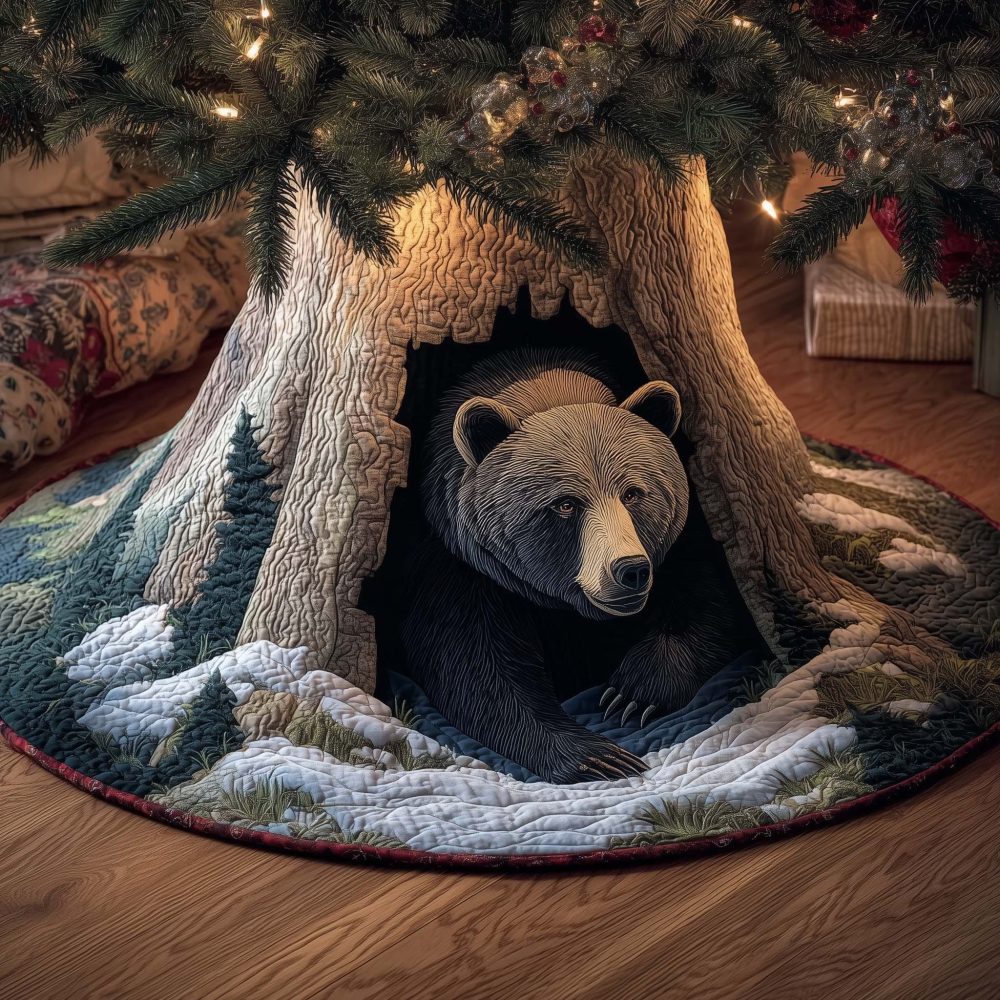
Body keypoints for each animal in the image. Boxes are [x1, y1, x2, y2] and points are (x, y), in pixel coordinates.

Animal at [398, 347, 756, 784]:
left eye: (633, 493)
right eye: (566, 504)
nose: (630, 569)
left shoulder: (681, 543)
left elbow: (709, 603)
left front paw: (631, 695)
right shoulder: (461, 566)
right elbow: (475, 668)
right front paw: (601, 756)